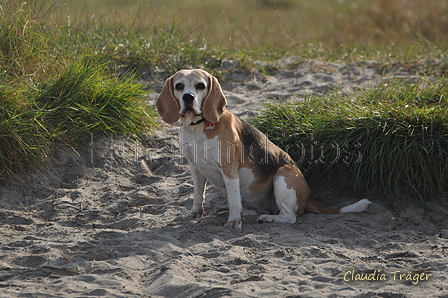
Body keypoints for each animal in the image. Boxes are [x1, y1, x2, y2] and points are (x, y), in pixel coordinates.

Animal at [155, 70, 372, 228]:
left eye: (200, 86)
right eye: (179, 86)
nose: (188, 97)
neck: (197, 127)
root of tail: (308, 197)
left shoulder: (229, 169)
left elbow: (233, 199)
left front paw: (234, 222)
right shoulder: (196, 167)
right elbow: (199, 194)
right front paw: (195, 213)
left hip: (282, 176)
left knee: (290, 217)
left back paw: (268, 218)